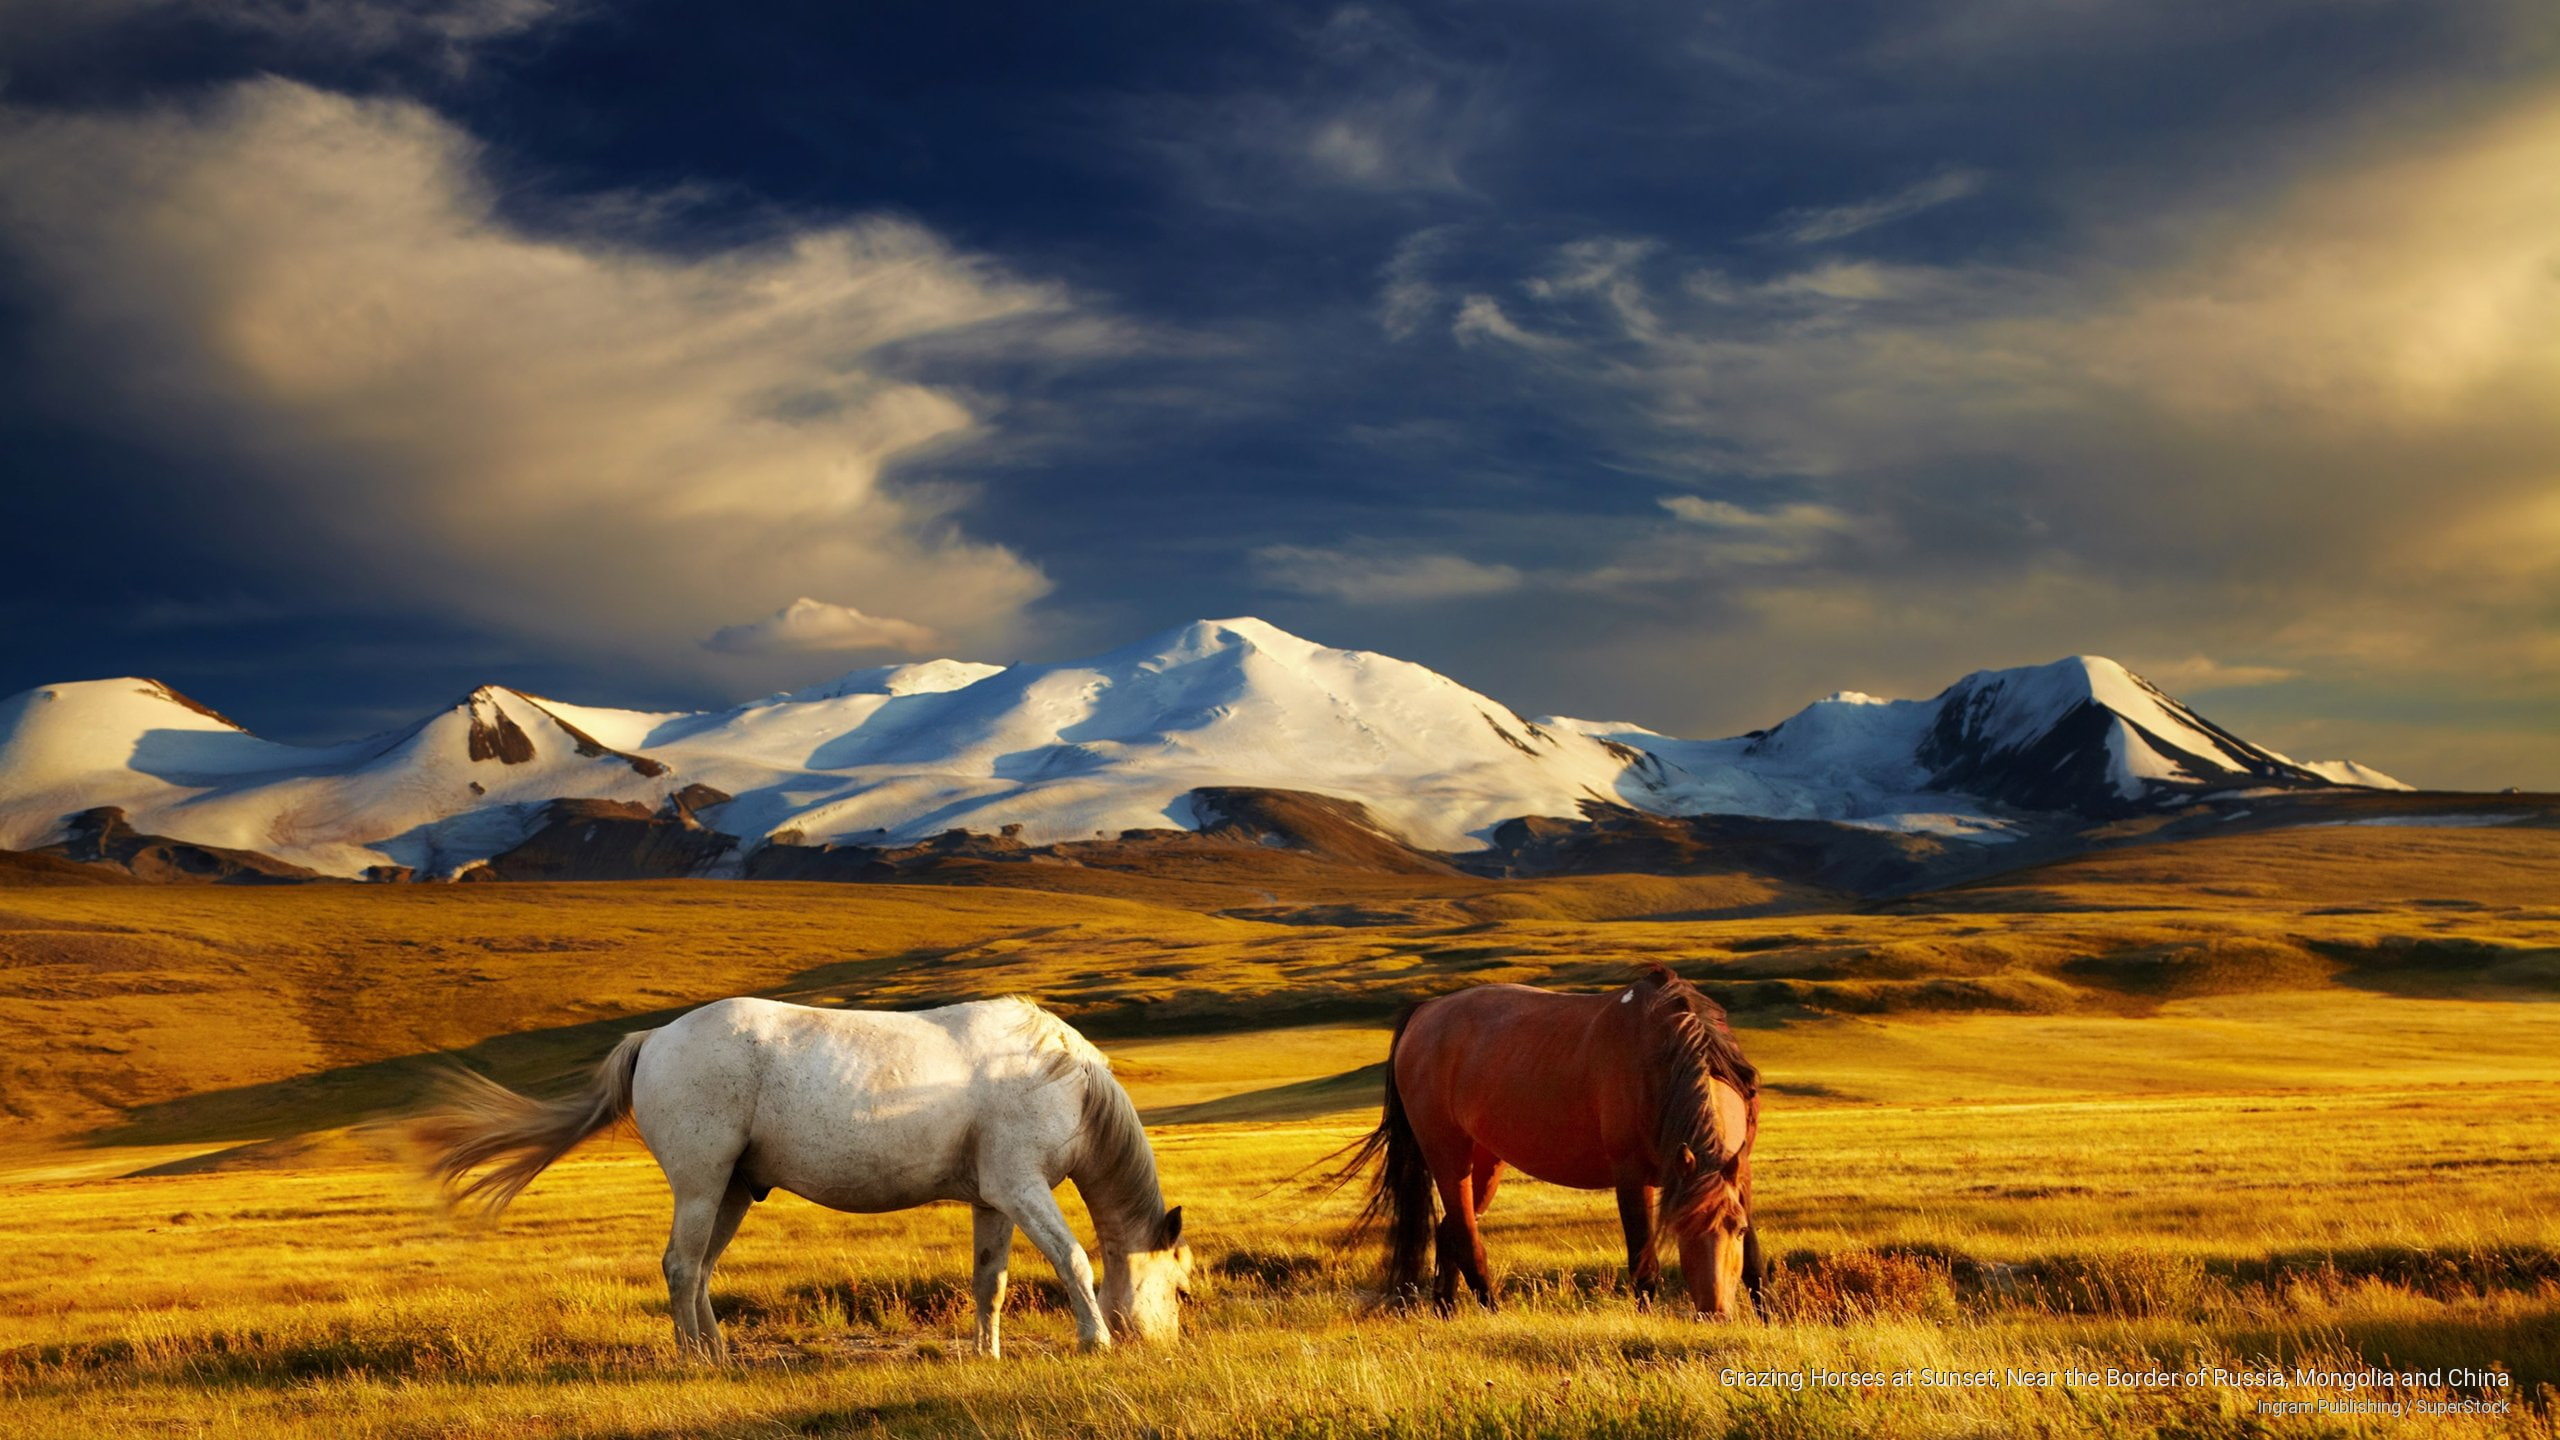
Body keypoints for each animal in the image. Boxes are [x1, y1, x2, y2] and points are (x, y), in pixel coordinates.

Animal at [409, 995, 1190, 1359]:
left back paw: (719, 1351)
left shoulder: (995, 1200)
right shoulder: (1025, 1191)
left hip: (730, 1191)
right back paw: (695, 1359)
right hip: (701, 1184)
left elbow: (988, 1283)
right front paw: (1096, 1340)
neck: (1064, 1078)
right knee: (680, 1266)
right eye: (1182, 1289)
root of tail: (655, 1038)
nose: (1162, 1345)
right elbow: (1074, 1261)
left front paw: (987, 1353)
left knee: (699, 1270)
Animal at [1341, 965, 1765, 1317]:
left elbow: (1755, 1263)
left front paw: (1767, 1317)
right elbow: (1643, 1262)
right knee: (1464, 1234)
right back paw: (1491, 1312)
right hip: (1447, 1154)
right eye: (1680, 1228)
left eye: (1737, 1229)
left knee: (1450, 1229)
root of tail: (1425, 1011)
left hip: (1485, 1160)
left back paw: (1445, 1310)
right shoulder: (1632, 1175)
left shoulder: (1739, 1170)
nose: (1714, 1313)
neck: (1663, 1055)